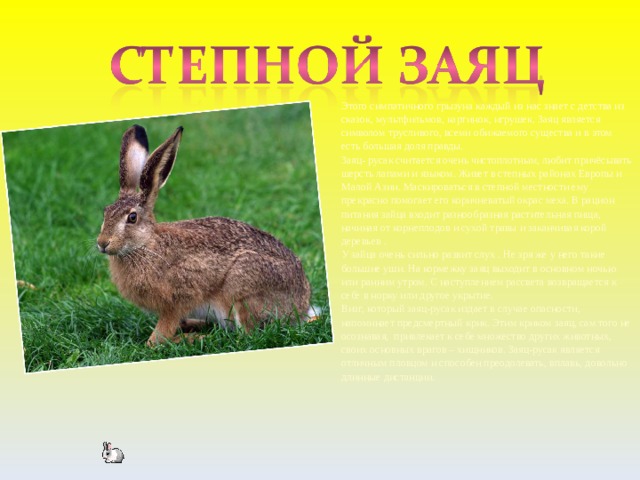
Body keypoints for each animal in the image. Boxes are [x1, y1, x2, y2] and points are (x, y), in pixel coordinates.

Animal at [97, 125, 312, 345]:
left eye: (132, 218)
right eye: (105, 212)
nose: (102, 243)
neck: (146, 245)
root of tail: (301, 305)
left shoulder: (178, 300)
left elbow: (158, 338)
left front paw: (161, 340)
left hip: (241, 289)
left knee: (246, 335)